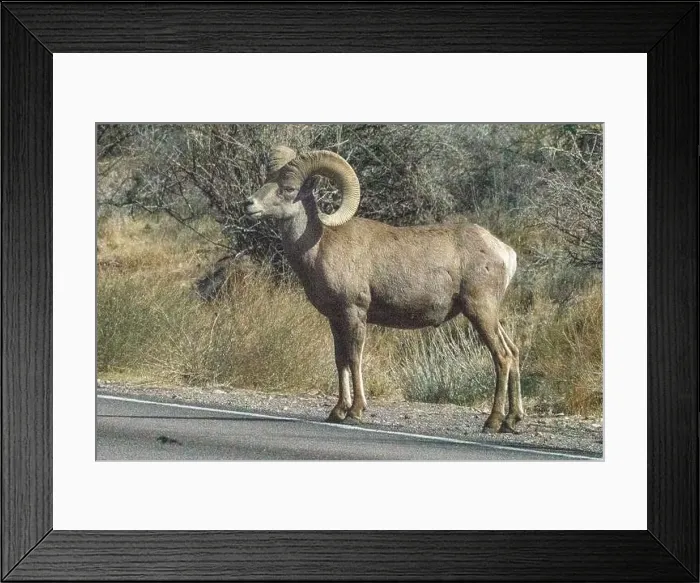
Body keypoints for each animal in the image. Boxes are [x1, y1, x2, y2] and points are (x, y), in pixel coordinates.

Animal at [244, 146, 523, 433]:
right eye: (268, 179)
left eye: (288, 188)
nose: (249, 204)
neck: (320, 245)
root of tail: (505, 251)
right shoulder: (335, 319)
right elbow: (340, 360)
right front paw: (337, 411)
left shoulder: (354, 313)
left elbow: (354, 358)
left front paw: (355, 411)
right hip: (489, 315)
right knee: (513, 352)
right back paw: (511, 420)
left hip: (480, 311)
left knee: (502, 356)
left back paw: (492, 421)